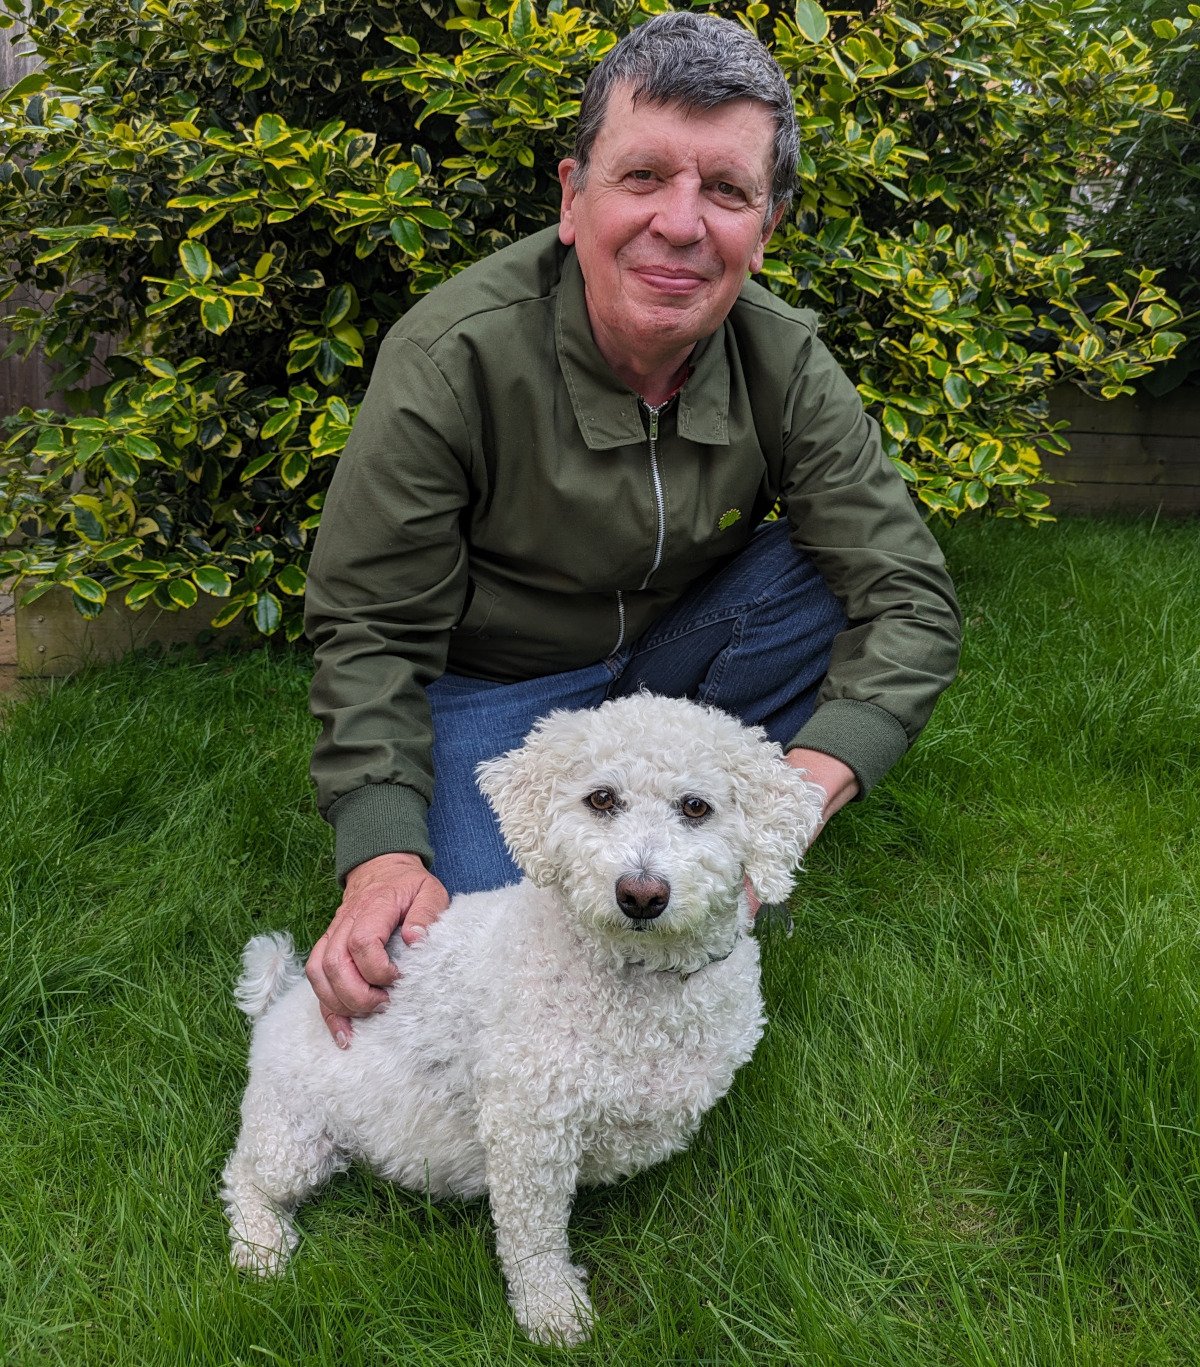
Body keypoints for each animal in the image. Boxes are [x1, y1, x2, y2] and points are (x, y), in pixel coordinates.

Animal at [222, 699, 825, 1339]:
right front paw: (551, 1311)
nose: (640, 894)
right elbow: (532, 1236)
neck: (637, 983)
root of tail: (281, 1001)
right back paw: (262, 1247)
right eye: (601, 799)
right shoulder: (528, 1133)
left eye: (695, 807)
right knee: (245, 1178)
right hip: (293, 1135)